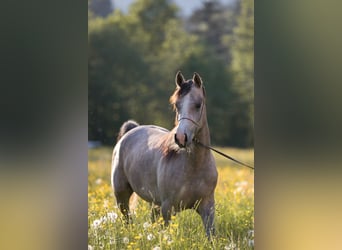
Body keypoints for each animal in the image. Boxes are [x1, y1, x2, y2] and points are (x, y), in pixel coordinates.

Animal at [112, 71, 219, 237]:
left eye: (198, 105)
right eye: (177, 105)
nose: (181, 138)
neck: (194, 166)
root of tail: (132, 130)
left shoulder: (207, 207)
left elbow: (211, 236)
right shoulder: (167, 208)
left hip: (154, 203)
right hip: (121, 196)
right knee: (127, 220)